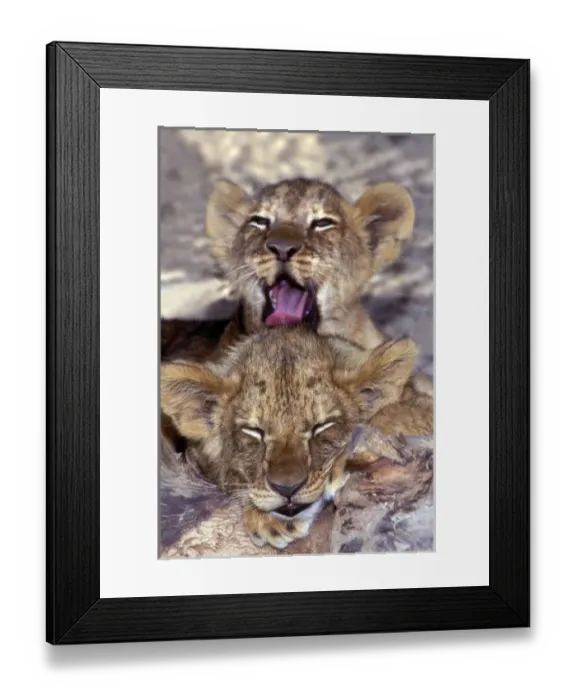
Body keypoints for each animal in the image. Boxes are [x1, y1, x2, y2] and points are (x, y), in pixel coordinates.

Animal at [160, 325, 432, 550]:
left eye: (321, 426)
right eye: (254, 431)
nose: (287, 488)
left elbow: (396, 412)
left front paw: (349, 457)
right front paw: (266, 518)